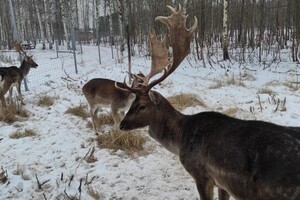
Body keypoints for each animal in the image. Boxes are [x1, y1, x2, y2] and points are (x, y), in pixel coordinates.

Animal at [116, 4, 300, 200]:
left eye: (142, 106)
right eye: (132, 103)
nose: (122, 124)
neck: (180, 139)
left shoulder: (201, 174)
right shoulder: (223, 183)